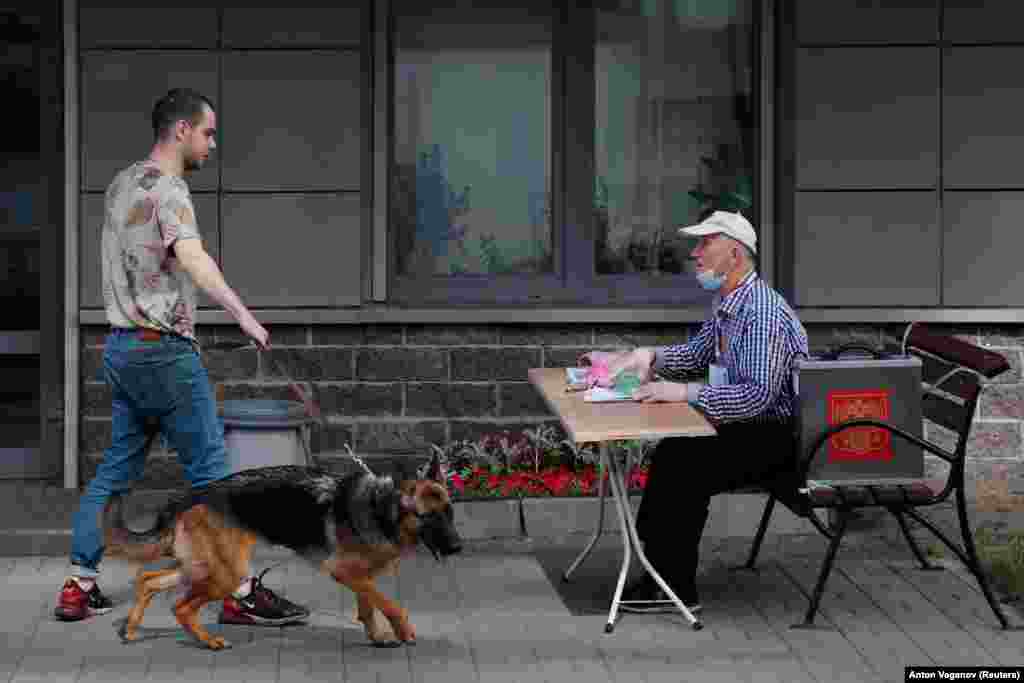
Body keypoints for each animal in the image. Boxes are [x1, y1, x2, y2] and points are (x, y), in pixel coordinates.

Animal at [107, 456, 460, 651]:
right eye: (428, 517)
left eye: (450, 512)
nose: (458, 548)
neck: (381, 508)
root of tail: (193, 495)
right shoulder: (345, 572)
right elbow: (388, 604)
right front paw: (401, 630)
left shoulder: (359, 575)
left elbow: (368, 605)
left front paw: (377, 636)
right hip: (226, 573)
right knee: (180, 606)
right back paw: (209, 642)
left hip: (203, 567)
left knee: (148, 580)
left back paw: (132, 629)